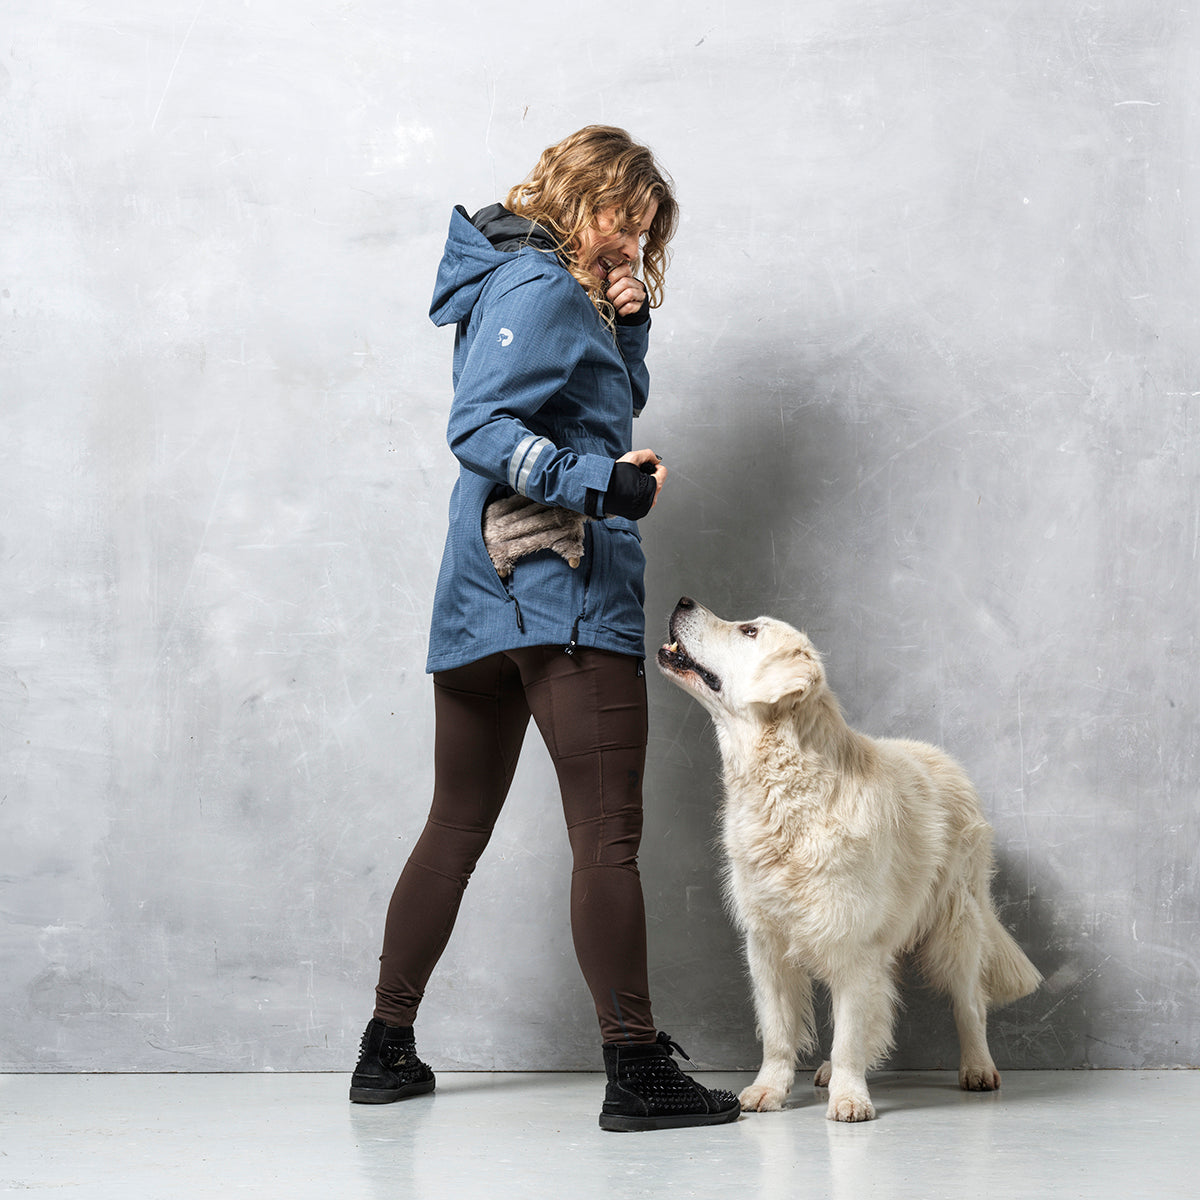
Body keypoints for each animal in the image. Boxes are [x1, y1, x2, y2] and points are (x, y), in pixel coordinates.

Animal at [656, 597, 1041, 1122]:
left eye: (750, 631)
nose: (683, 601)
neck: (788, 790)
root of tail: (948, 762)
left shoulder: (853, 942)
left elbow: (851, 1032)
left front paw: (850, 1098)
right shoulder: (767, 942)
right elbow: (779, 1030)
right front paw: (768, 1089)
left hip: (957, 923)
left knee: (970, 1004)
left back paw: (978, 1068)